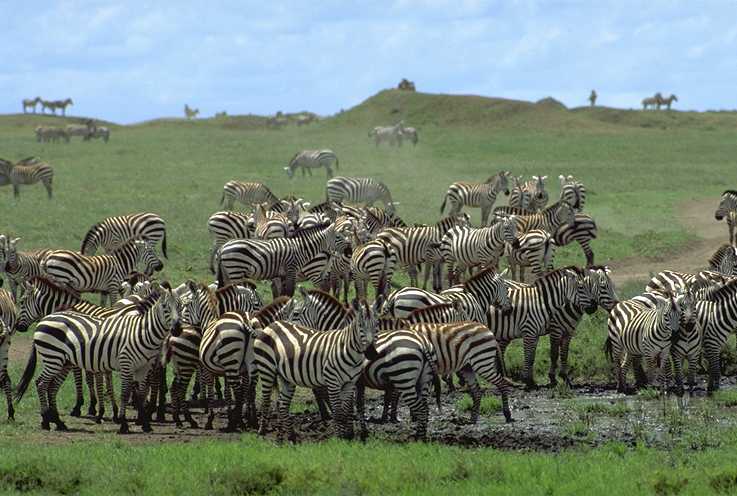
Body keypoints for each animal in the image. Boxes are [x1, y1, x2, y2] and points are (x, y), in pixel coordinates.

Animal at [15, 284, 182, 433]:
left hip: (61, 362)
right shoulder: (124, 363)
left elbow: (139, 393)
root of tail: (46, 318)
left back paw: (57, 422)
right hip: (53, 359)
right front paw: (122, 423)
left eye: (180, 306)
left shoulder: (142, 367)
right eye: (165, 306)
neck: (142, 331)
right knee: (41, 383)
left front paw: (144, 424)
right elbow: (121, 391)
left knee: (50, 386)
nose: (177, 329)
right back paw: (46, 421)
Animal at [248, 298, 382, 441]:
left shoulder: (349, 384)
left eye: (376, 324)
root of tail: (272, 325)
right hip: (266, 368)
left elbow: (345, 412)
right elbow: (338, 413)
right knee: (266, 401)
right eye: (360, 325)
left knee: (283, 404)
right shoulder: (332, 381)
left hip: (286, 377)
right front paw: (340, 439)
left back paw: (291, 436)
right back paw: (262, 431)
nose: (371, 353)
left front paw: (348, 437)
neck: (348, 350)